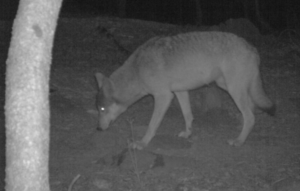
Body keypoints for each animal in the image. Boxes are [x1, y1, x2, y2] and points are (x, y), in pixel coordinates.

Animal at [95, 31, 276, 150]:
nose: (98, 129)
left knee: (250, 116)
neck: (137, 70)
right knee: (251, 109)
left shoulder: (163, 97)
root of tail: (252, 48)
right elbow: (188, 115)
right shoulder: (180, 92)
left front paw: (142, 143)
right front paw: (188, 134)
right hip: (226, 85)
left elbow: (152, 125)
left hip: (233, 89)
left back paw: (239, 141)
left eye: (102, 109)